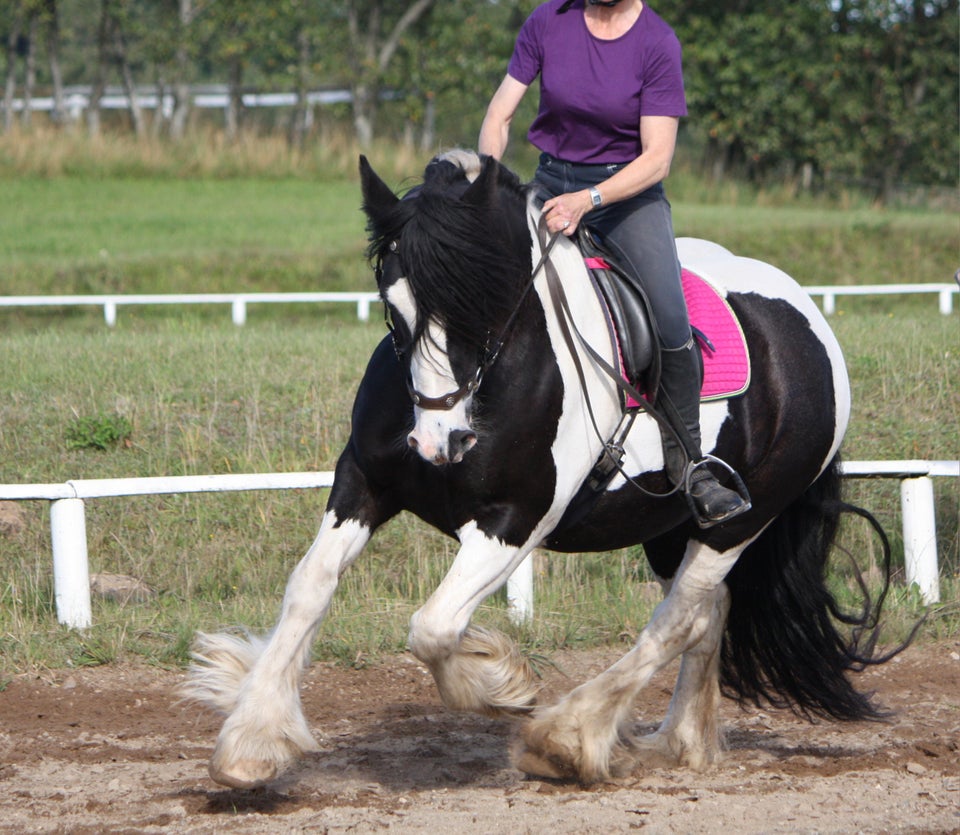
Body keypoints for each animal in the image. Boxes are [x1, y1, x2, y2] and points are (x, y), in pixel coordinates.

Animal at [184, 149, 896, 792]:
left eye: (487, 305)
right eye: (393, 305)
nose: (442, 442)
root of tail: (808, 316)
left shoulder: (516, 518)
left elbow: (434, 627)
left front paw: (501, 681)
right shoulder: (365, 483)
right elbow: (309, 586)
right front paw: (250, 736)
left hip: (736, 523)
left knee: (675, 619)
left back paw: (567, 739)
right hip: (667, 526)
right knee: (703, 611)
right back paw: (679, 743)